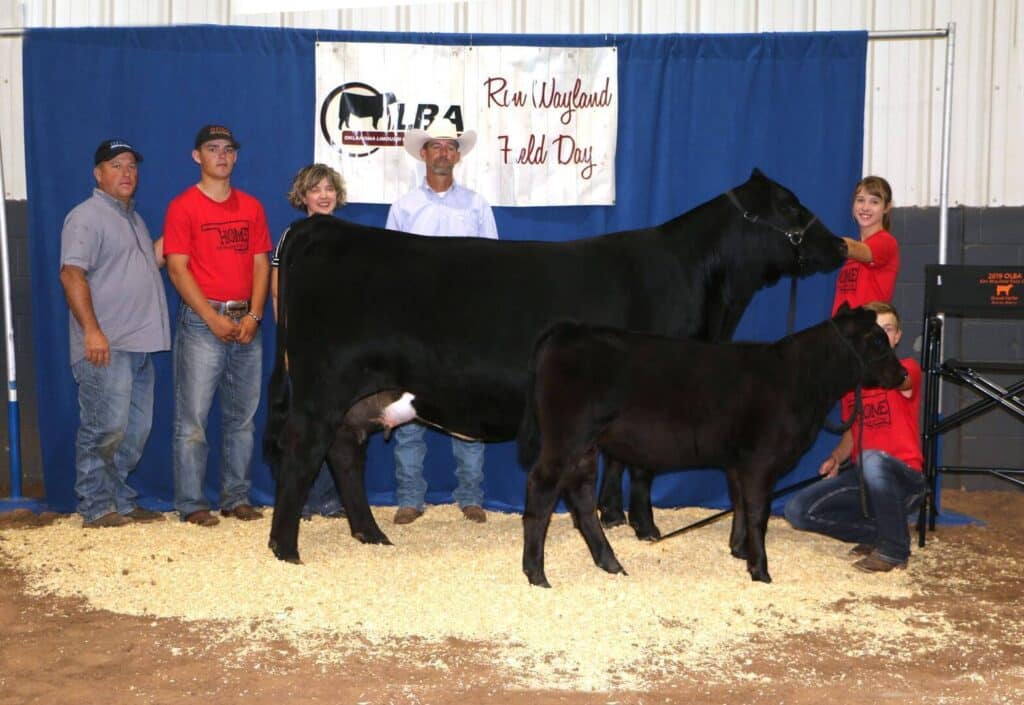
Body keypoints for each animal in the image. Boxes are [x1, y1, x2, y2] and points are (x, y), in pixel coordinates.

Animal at [264, 168, 848, 563]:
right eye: (790, 206)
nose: (840, 245)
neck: (703, 286)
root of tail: (319, 230)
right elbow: (643, 466)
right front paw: (645, 527)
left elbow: (620, 459)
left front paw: (613, 515)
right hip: (323, 385)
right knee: (303, 452)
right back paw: (285, 547)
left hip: (359, 394)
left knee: (344, 453)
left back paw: (371, 533)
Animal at [516, 305, 907, 587]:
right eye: (876, 340)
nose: (903, 374)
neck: (801, 380)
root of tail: (569, 329)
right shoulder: (761, 459)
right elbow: (758, 513)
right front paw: (761, 570)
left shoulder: (739, 461)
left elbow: (740, 505)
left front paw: (739, 551)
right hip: (567, 438)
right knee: (543, 489)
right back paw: (537, 574)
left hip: (586, 446)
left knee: (581, 497)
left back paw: (610, 564)